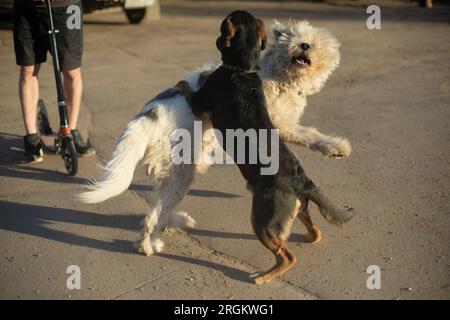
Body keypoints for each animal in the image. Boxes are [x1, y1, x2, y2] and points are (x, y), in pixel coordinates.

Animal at [78, 19, 352, 255]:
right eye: (295, 39)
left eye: (313, 42)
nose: (304, 45)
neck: (277, 75)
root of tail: (149, 115)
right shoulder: (279, 123)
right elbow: (309, 135)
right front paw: (337, 146)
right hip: (181, 170)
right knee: (154, 215)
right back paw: (148, 246)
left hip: (176, 169)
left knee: (160, 204)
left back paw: (175, 222)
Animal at [177, 10, 356, 284]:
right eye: (298, 40)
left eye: (314, 43)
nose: (305, 45)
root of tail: (302, 181)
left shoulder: (207, 103)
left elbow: (187, 87)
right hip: (293, 211)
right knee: (313, 231)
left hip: (263, 221)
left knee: (287, 255)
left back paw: (263, 276)